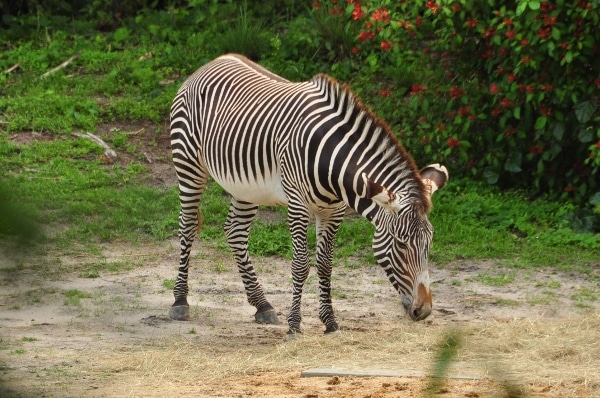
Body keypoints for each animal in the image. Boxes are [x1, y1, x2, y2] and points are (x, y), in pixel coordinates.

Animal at [168, 53, 446, 336]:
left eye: (429, 243)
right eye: (401, 244)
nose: (424, 311)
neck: (333, 164)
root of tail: (214, 61)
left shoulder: (333, 211)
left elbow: (325, 264)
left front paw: (329, 321)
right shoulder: (298, 204)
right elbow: (301, 265)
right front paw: (294, 325)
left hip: (245, 185)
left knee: (235, 231)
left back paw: (262, 304)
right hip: (188, 163)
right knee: (187, 225)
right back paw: (180, 301)